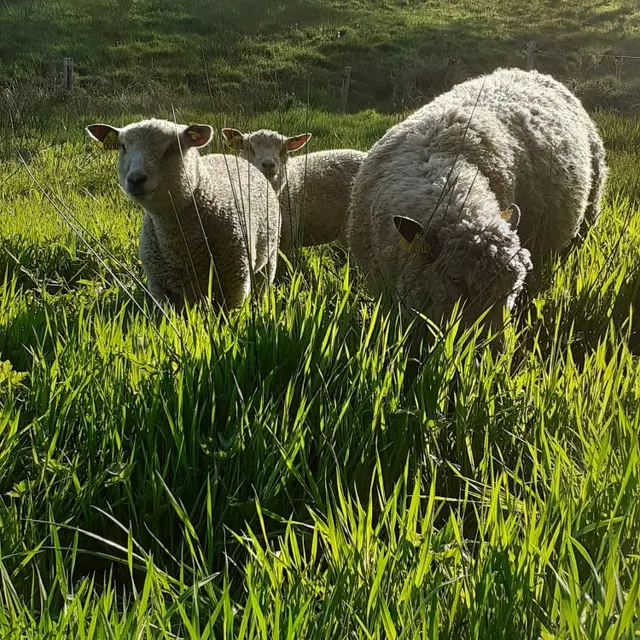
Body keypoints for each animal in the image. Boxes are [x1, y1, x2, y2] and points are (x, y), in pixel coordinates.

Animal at [86, 118, 281, 310]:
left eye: (173, 147)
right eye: (123, 147)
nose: (135, 179)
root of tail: (231, 156)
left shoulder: (235, 286)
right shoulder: (160, 288)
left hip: (269, 257)